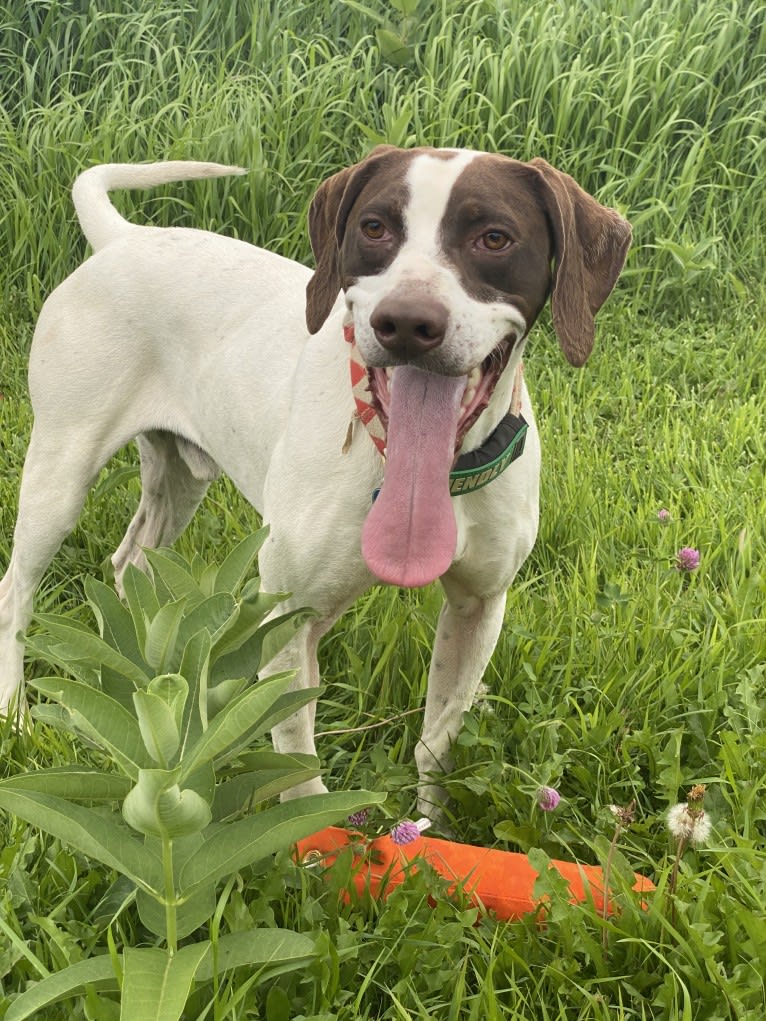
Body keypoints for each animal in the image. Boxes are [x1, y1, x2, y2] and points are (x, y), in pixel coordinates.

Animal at [0, 146, 633, 812]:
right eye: (374, 227)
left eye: (494, 237)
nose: (407, 322)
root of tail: (125, 238)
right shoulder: (287, 616)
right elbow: (299, 772)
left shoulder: (478, 606)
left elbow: (438, 738)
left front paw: (429, 823)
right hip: (61, 470)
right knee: (16, 593)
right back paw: (18, 715)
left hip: (181, 479)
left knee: (129, 562)